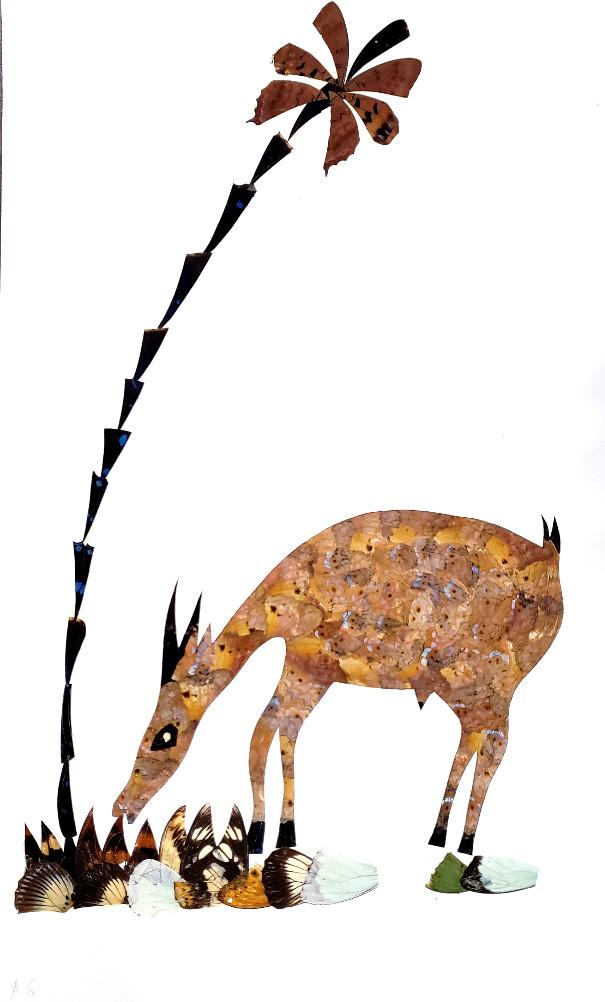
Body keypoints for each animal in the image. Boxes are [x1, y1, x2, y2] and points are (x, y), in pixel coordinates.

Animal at [113, 509, 562, 856]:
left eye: (165, 736)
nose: (121, 807)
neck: (281, 607)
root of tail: (552, 559)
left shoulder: (311, 666)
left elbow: (268, 734)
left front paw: (273, 834)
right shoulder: (305, 669)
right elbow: (271, 733)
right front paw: (268, 834)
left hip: (488, 687)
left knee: (494, 747)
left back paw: (462, 843)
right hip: (468, 694)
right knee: (473, 744)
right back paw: (440, 835)